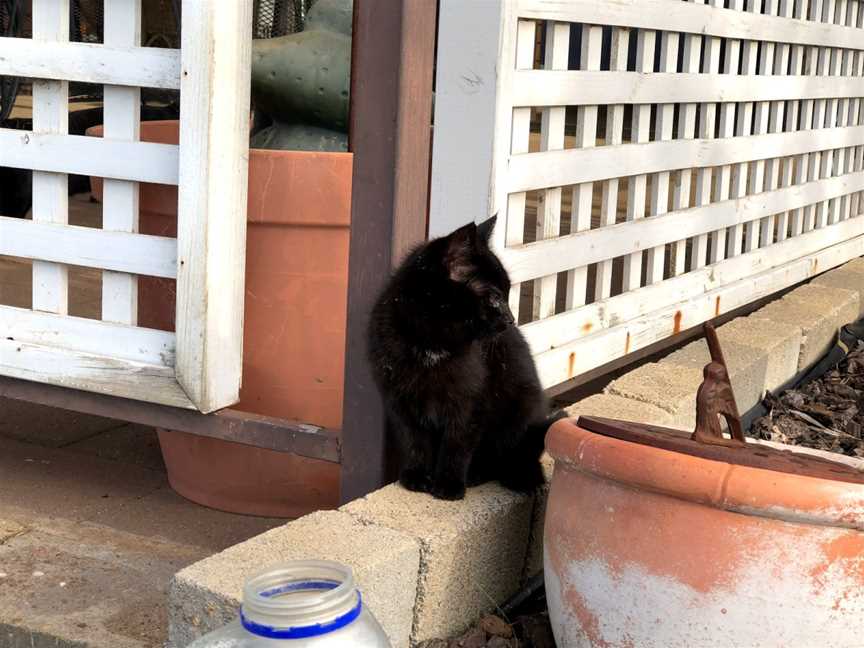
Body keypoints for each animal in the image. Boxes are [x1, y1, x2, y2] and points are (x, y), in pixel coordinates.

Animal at [366, 215, 560, 498]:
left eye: (507, 294)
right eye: (495, 297)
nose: (511, 320)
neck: (430, 341)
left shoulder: (471, 400)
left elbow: (458, 441)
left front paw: (448, 484)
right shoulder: (399, 398)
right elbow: (413, 438)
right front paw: (417, 476)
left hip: (522, 407)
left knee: (514, 454)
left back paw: (509, 477)